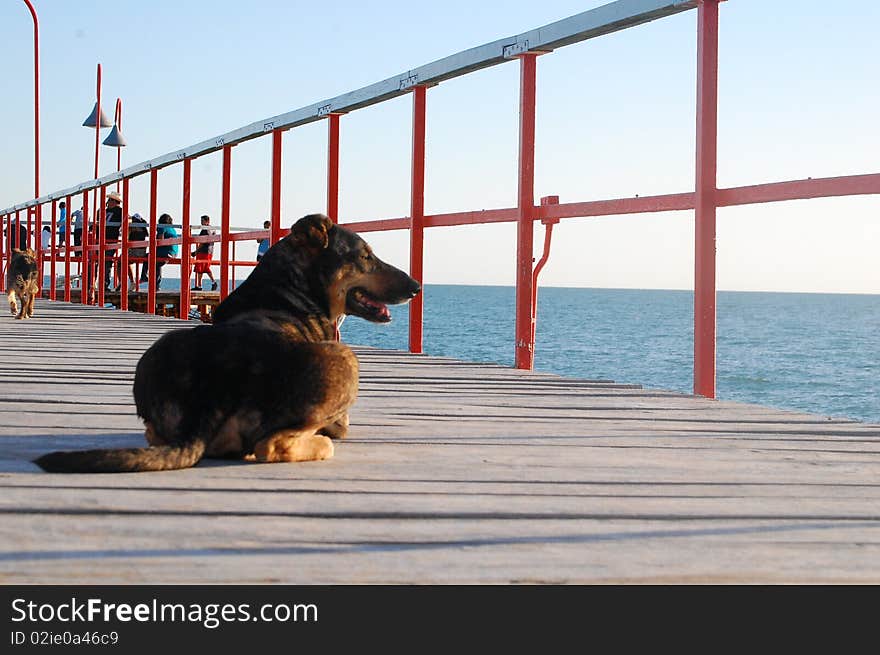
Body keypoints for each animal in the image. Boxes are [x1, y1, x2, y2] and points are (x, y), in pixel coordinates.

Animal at [34, 213, 420, 474]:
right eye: (365, 256)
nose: (417, 287)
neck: (289, 288)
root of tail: (210, 393)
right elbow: (339, 426)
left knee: (152, 435)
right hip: (346, 359)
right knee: (271, 445)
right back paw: (318, 444)